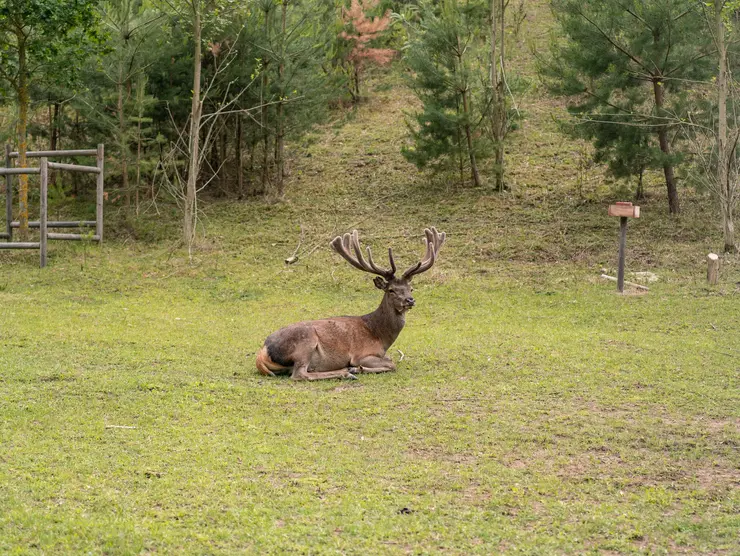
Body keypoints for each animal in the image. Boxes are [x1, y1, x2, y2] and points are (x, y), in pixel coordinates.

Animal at [254, 228, 446, 380]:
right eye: (391, 290)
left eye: (411, 288)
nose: (410, 300)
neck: (380, 335)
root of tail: (263, 350)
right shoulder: (362, 354)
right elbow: (392, 363)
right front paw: (357, 368)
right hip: (305, 343)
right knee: (300, 374)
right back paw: (346, 373)